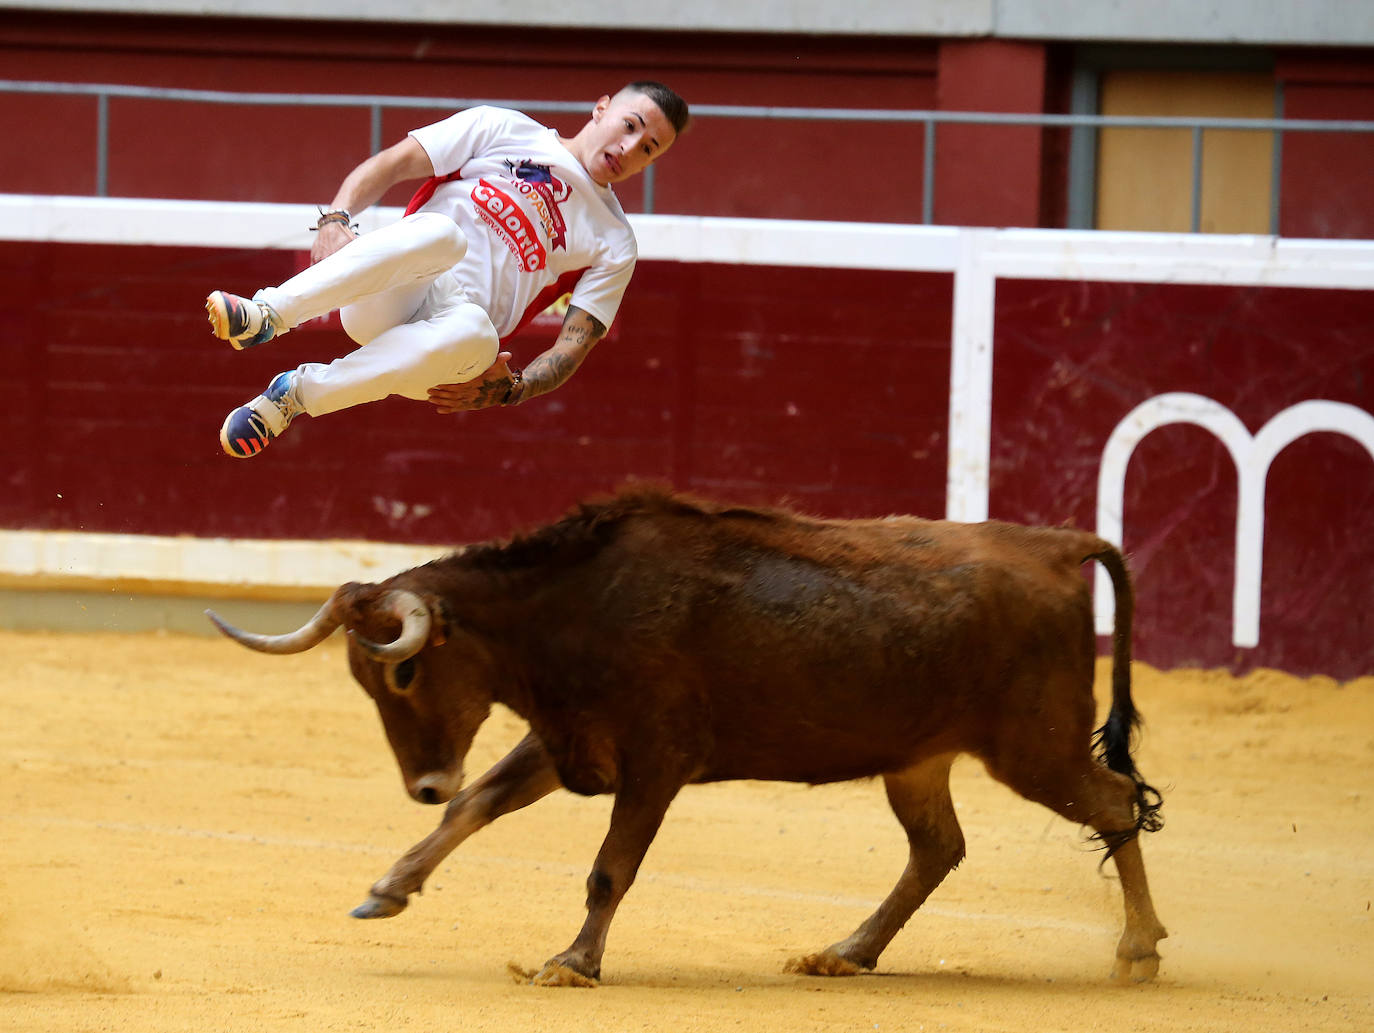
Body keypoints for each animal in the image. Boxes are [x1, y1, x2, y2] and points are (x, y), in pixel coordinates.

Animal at [208, 489, 1165, 989]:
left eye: (404, 673)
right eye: (366, 681)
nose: (423, 783)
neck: (569, 608)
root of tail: (1054, 545)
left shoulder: (654, 761)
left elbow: (609, 866)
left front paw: (573, 962)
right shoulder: (567, 739)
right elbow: (477, 808)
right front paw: (389, 887)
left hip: (1032, 746)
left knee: (1114, 799)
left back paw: (1139, 949)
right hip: (918, 756)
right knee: (938, 847)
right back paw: (846, 951)